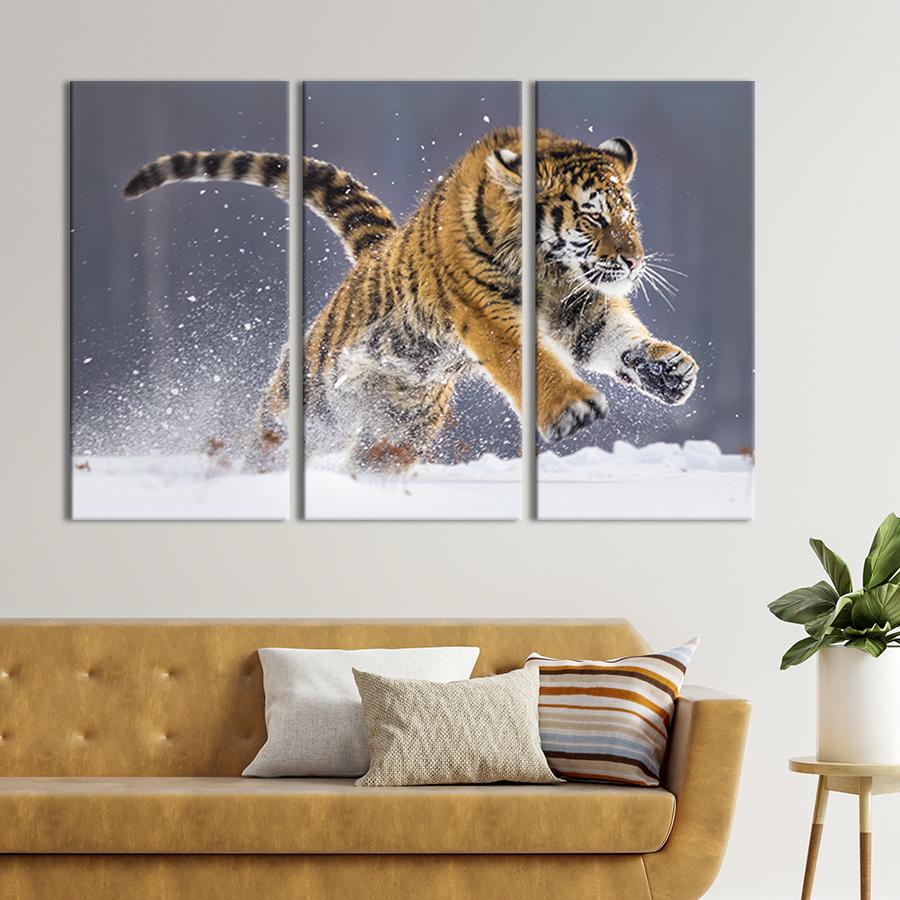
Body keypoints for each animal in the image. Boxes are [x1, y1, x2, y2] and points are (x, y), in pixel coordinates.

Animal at [122, 129, 698, 472]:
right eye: (593, 217)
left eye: (629, 217)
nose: (634, 261)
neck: (549, 265)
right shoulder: (484, 310)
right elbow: (526, 358)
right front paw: (571, 408)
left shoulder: (577, 302)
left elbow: (612, 336)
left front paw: (667, 369)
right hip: (307, 404)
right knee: (273, 445)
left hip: (400, 428)